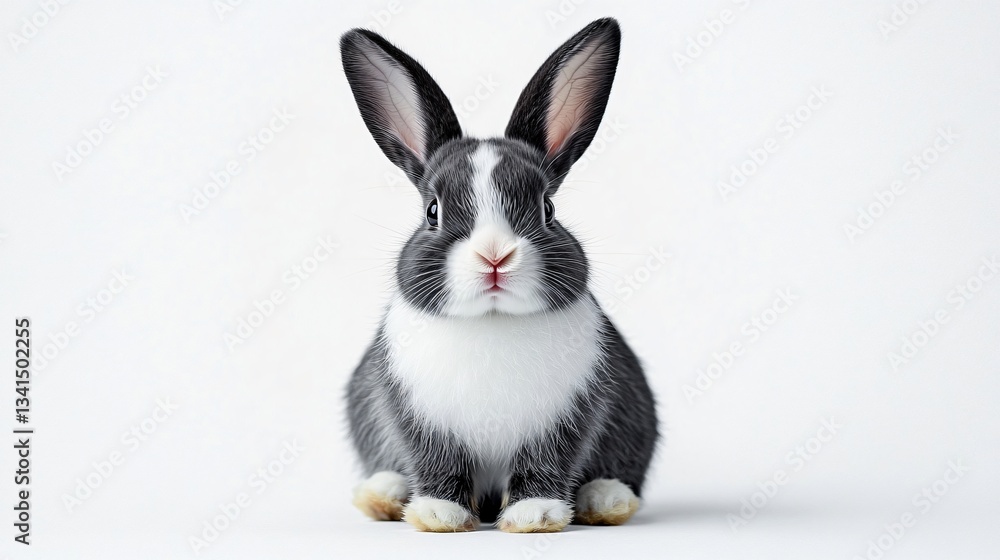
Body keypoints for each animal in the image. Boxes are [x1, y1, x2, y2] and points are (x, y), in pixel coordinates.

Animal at [340, 17, 658, 533]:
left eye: (548, 209)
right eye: (432, 211)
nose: (494, 256)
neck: (492, 321)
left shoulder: (565, 420)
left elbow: (546, 463)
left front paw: (534, 515)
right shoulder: (420, 420)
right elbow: (438, 463)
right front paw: (440, 514)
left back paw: (605, 499)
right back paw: (383, 494)